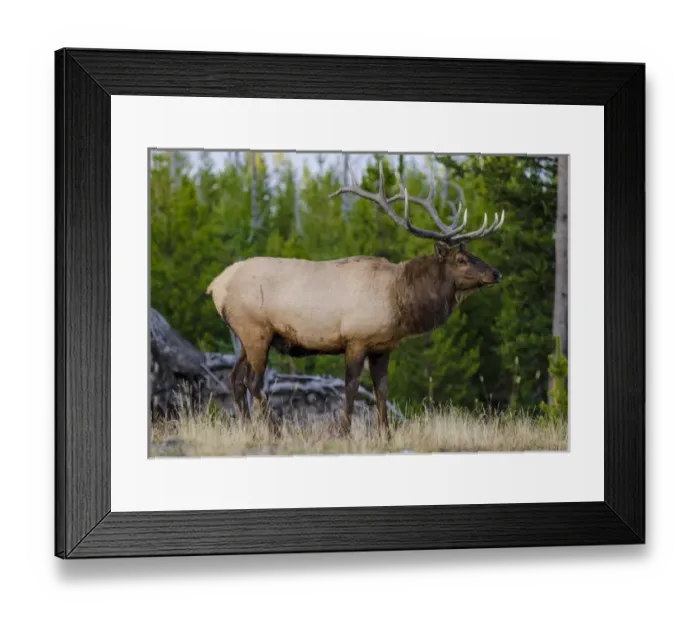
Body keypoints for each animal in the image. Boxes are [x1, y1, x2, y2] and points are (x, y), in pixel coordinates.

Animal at [206, 165, 505, 437]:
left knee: (235, 378)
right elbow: (351, 387)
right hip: (256, 329)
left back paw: (249, 430)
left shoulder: (383, 347)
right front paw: (344, 432)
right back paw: (275, 431)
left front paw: (386, 434)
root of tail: (216, 286)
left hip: (246, 334)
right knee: (254, 381)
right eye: (461, 259)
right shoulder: (355, 339)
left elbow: (381, 390)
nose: (496, 273)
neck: (399, 300)